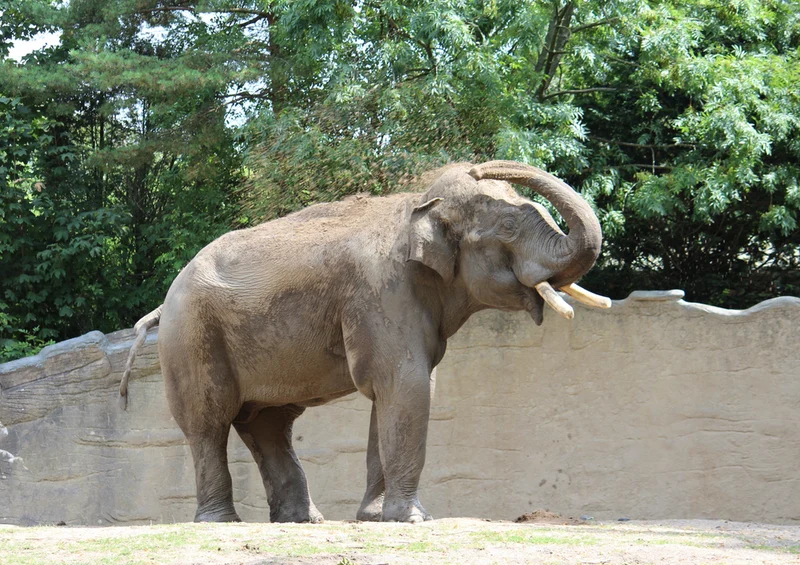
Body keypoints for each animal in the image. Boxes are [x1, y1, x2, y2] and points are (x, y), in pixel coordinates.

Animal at [119, 160, 610, 524]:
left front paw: (376, 518)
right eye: (508, 224)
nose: (480, 165)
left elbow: (398, 394)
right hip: (192, 336)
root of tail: (165, 301)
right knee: (210, 421)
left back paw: (302, 521)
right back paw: (222, 522)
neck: (416, 205)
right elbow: (407, 386)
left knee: (268, 424)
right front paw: (414, 519)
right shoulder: (383, 292)